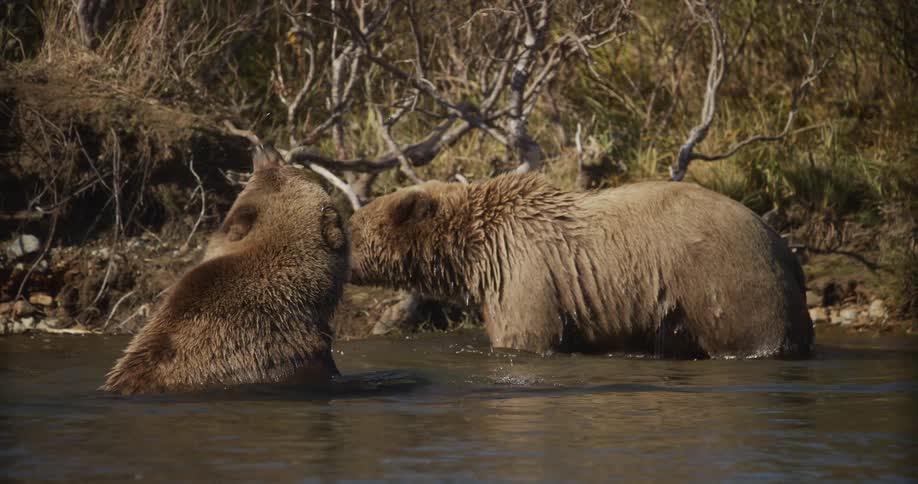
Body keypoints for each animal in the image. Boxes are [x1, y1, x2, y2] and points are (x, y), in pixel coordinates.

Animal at [347, 172, 813, 358]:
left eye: (350, 228)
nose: (342, 258)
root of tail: (784, 246)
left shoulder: (524, 272)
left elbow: (526, 335)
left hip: (728, 285)